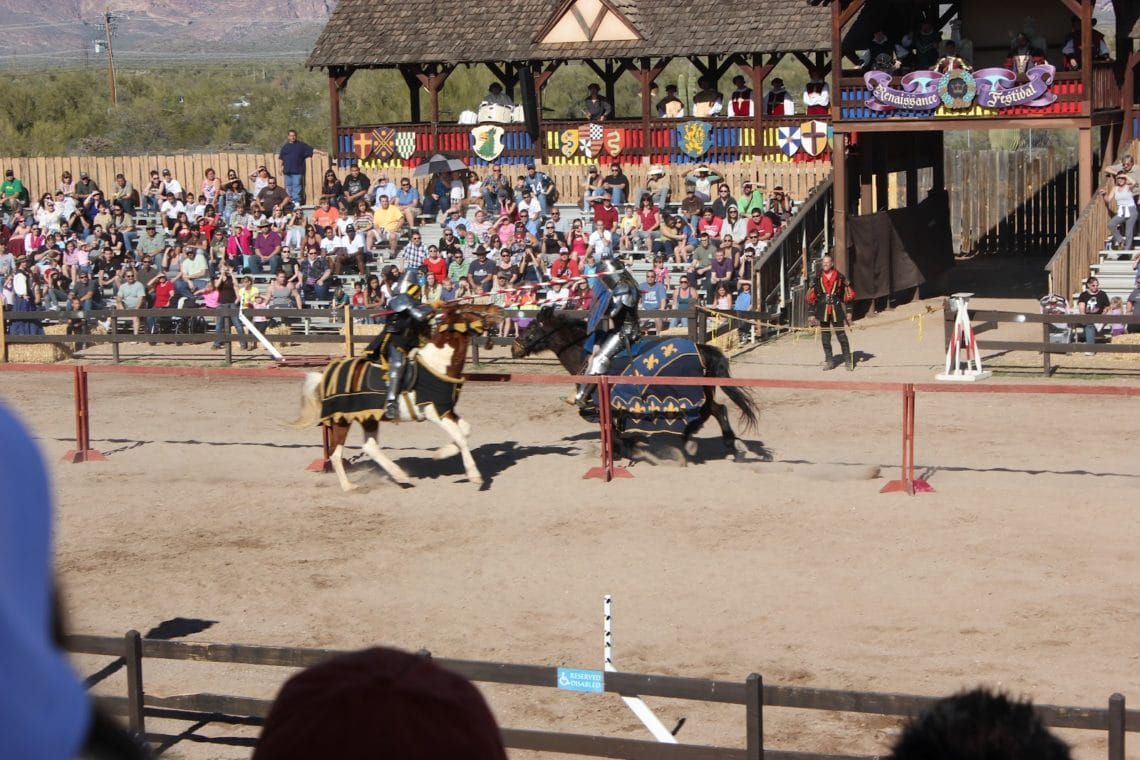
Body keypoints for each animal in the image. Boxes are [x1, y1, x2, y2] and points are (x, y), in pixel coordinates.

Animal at [294, 300, 503, 487]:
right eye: (469, 307)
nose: (498, 309)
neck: (438, 363)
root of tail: (324, 376)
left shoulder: (447, 410)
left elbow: (466, 431)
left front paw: (442, 452)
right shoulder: (434, 412)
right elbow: (461, 437)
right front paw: (474, 475)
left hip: (367, 417)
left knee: (369, 446)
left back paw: (399, 475)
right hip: (341, 420)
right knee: (336, 454)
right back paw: (349, 487)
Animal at [508, 305, 756, 460]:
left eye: (531, 329)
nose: (514, 348)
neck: (585, 353)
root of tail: (702, 349)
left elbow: (605, 424)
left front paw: (623, 448)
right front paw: (624, 446)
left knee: (710, 412)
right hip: (705, 392)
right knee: (718, 409)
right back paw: (725, 442)